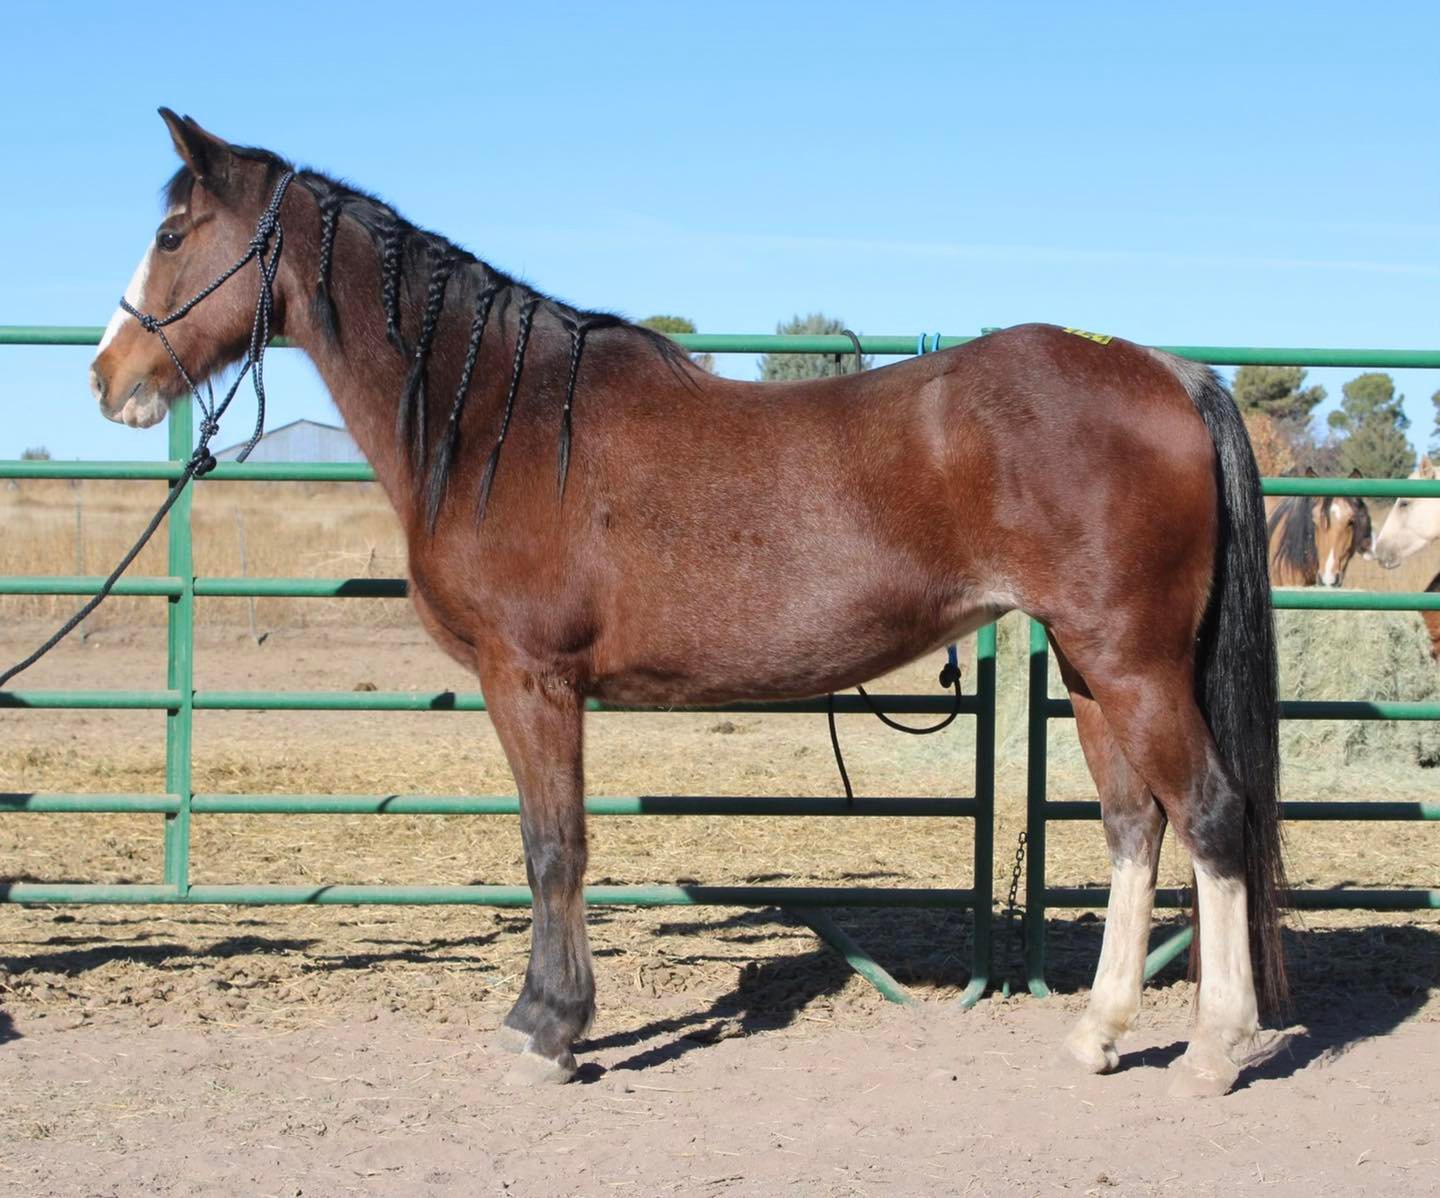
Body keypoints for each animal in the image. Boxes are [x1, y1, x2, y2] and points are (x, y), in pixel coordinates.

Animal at [87, 110, 1286, 1097]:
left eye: (175, 235)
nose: (109, 378)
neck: (504, 421)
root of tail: (1170, 371)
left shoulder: (531, 679)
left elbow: (553, 847)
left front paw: (547, 1031)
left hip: (1132, 664)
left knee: (1211, 813)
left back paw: (1217, 1049)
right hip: (1092, 669)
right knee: (1135, 824)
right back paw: (1097, 1034)